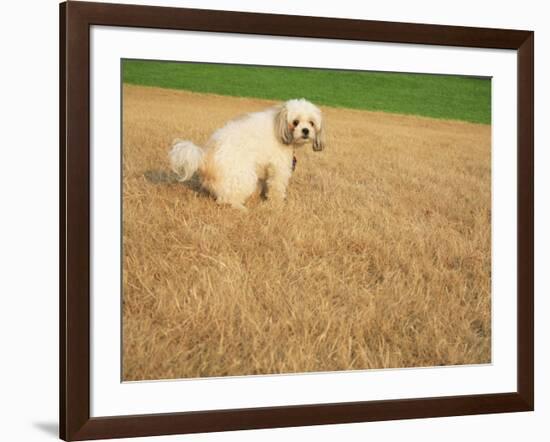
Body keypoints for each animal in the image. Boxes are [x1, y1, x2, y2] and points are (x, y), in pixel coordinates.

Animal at [168, 99, 324, 210]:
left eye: (311, 123)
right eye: (295, 122)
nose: (305, 130)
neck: (279, 125)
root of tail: (205, 158)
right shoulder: (279, 167)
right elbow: (276, 187)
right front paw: (277, 205)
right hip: (244, 176)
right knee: (226, 200)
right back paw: (241, 208)